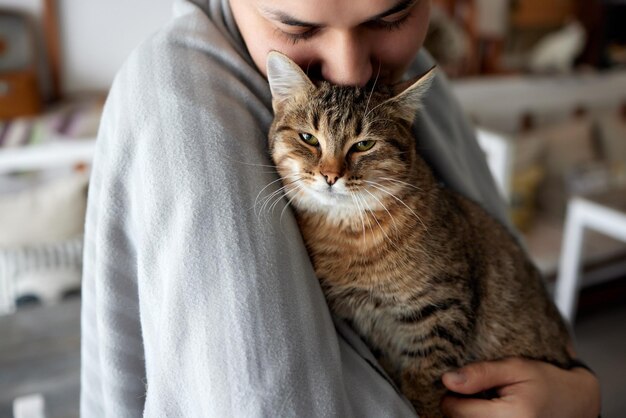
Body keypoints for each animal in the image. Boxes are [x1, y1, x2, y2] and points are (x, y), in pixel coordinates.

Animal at [264, 52, 572, 418]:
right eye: (308, 138)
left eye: (364, 144)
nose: (330, 176)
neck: (349, 235)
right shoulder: (369, 325)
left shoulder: (442, 310)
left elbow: (424, 379)